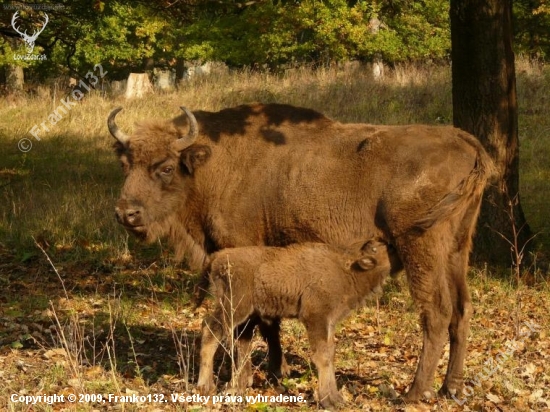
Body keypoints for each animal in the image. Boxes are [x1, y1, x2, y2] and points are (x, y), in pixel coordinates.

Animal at [196, 240, 398, 410]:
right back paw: (206, 387)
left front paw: (336, 398)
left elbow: (330, 354)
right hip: (234, 307)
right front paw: (328, 401)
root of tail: (216, 258)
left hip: (245, 313)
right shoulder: (315, 317)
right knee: (210, 330)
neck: (348, 271)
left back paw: (237, 386)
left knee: (238, 339)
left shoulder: (329, 323)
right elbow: (322, 357)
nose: (390, 245)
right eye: (377, 249)